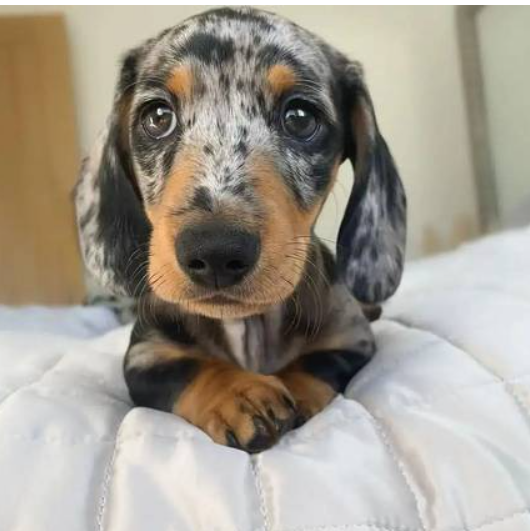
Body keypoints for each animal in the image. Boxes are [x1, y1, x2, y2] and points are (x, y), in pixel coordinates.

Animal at [75, 7, 406, 452]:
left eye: (300, 117)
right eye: (157, 117)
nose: (215, 251)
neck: (247, 325)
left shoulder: (351, 339)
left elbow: (314, 362)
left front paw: (292, 390)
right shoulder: (146, 355)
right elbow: (191, 368)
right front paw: (241, 395)